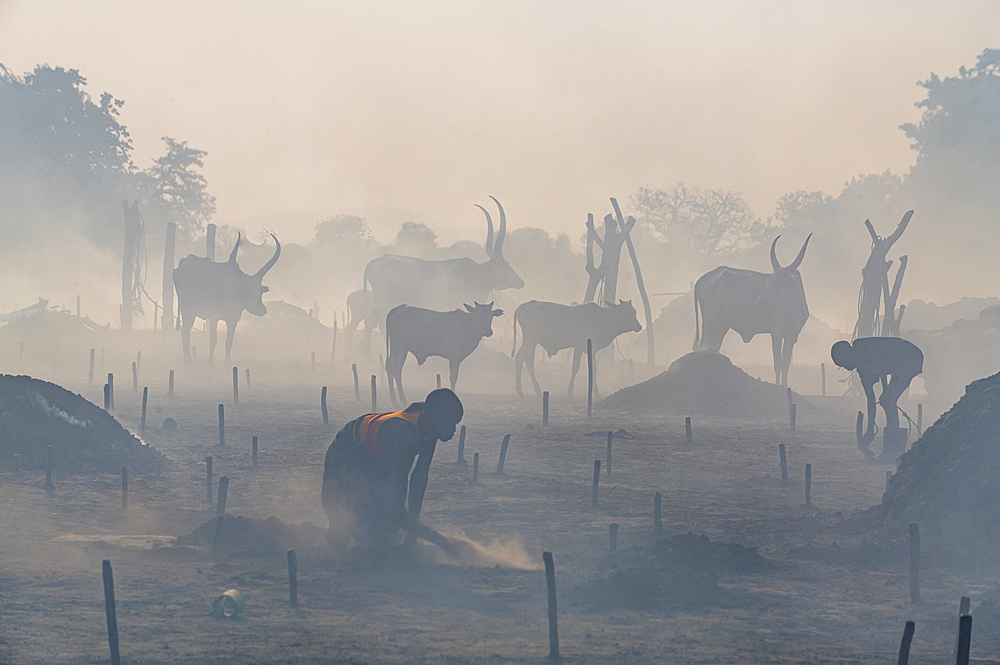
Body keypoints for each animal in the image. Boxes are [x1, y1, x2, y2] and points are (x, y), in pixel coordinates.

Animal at [173, 233, 280, 366]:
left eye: (260, 291)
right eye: (247, 291)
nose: (262, 310)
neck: (231, 290)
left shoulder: (234, 319)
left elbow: (229, 341)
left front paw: (227, 363)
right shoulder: (213, 316)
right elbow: (213, 340)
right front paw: (210, 363)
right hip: (187, 311)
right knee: (185, 332)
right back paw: (188, 362)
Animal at [512, 298, 644, 396]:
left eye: (634, 311)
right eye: (627, 313)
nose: (639, 326)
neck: (602, 320)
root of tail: (522, 306)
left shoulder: (591, 349)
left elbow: (594, 368)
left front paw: (595, 391)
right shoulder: (579, 346)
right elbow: (575, 367)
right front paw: (570, 391)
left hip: (532, 342)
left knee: (525, 358)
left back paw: (527, 389)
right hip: (530, 340)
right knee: (522, 358)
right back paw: (529, 390)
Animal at [696, 232, 812, 384]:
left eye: (781, 281)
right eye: (770, 279)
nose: (760, 300)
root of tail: (702, 279)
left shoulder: (791, 334)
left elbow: (786, 364)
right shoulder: (776, 333)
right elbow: (778, 364)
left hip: (720, 327)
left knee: (712, 347)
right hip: (711, 324)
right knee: (702, 347)